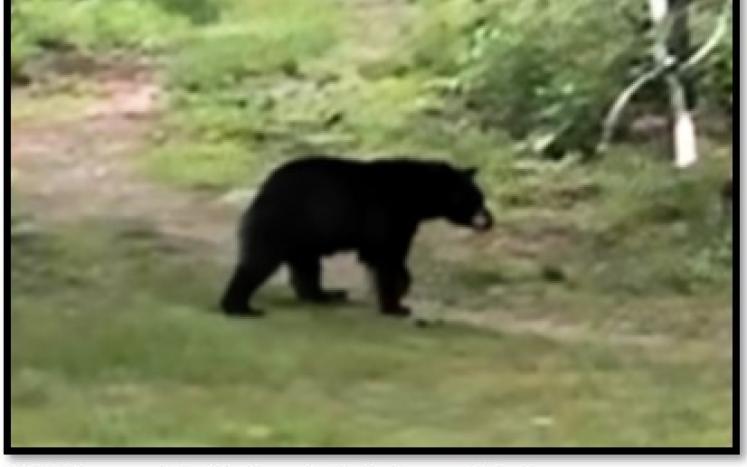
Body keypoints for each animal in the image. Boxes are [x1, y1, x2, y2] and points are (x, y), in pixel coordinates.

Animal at [220, 155, 493, 317]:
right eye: (476, 199)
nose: (490, 220)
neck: (416, 197)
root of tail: (263, 188)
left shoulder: (404, 221)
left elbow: (391, 257)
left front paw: (400, 292)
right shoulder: (389, 214)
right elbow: (387, 257)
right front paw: (396, 305)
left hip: (303, 237)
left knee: (307, 267)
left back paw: (326, 295)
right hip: (283, 222)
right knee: (259, 262)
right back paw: (239, 307)